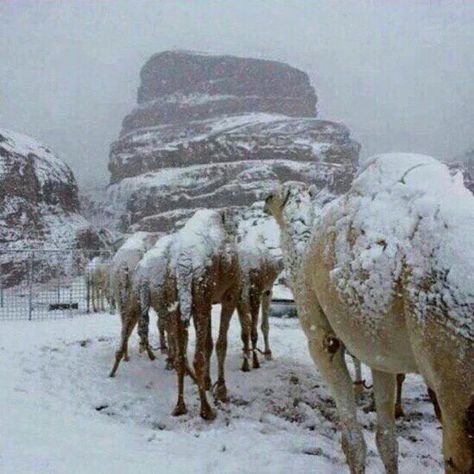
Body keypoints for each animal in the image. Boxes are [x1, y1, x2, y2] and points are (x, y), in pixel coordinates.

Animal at [171, 209, 241, 420]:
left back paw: (179, 407)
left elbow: (209, 343)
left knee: (181, 357)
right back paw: (207, 410)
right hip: (201, 289)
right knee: (197, 358)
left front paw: (209, 383)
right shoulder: (230, 295)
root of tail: (185, 263)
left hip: (178, 295)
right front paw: (222, 390)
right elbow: (221, 343)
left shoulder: (209, 300)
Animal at [266, 156, 474, 474]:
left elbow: (352, 441)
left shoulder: (322, 338)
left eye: (273, 196)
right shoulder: (379, 353)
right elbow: (387, 440)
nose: (263, 201)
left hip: (453, 363)